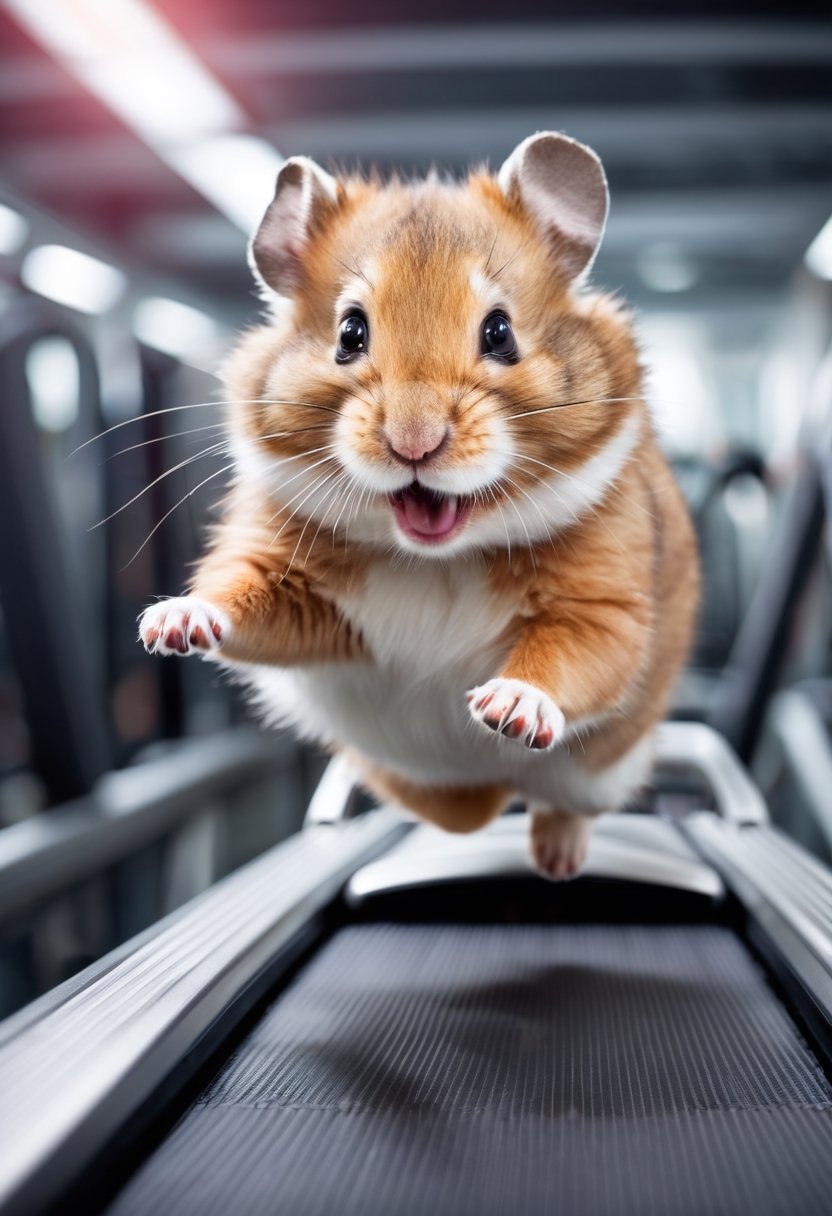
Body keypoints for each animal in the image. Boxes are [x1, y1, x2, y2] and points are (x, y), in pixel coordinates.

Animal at [139, 130, 700, 875]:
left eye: (500, 332)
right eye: (350, 333)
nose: (414, 443)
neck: (437, 557)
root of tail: (490, 788)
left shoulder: (604, 608)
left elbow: (567, 659)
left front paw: (505, 712)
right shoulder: (284, 576)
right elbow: (235, 597)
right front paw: (167, 626)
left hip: (598, 772)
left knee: (561, 806)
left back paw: (557, 857)